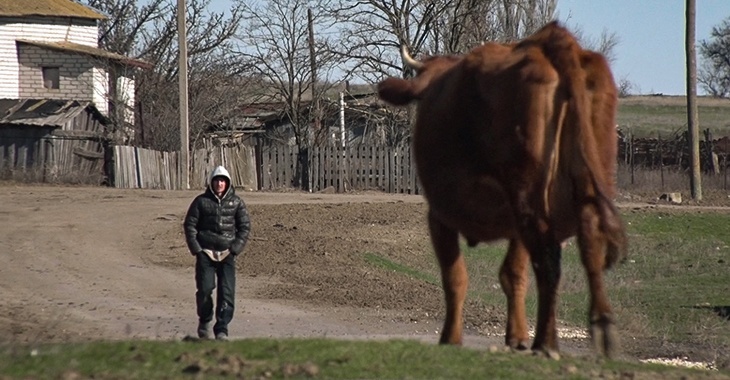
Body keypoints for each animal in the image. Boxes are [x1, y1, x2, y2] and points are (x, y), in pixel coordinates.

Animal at [376, 22, 624, 358]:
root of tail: (552, 40)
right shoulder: (514, 224)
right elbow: (513, 274)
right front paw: (516, 335)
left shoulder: (439, 216)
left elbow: (455, 277)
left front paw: (451, 337)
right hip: (582, 189)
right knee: (589, 245)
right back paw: (600, 326)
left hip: (530, 198)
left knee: (548, 263)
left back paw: (546, 342)